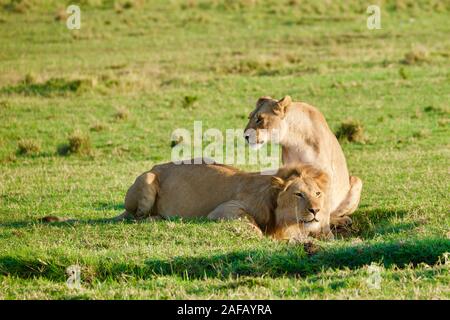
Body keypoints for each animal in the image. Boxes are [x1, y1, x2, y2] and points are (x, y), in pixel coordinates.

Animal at [115, 160, 334, 240]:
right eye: (298, 194)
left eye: (317, 194)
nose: (316, 211)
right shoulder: (224, 209)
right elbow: (250, 222)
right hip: (147, 180)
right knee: (135, 216)